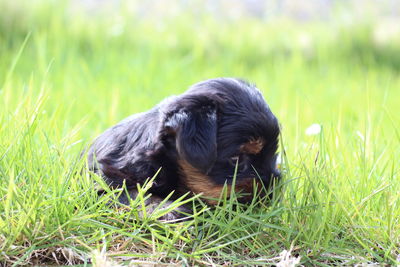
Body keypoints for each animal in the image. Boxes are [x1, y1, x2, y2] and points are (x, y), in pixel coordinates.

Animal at [87, 78, 282, 220]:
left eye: (274, 154)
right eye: (237, 159)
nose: (272, 187)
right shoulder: (105, 180)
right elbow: (131, 195)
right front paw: (169, 209)